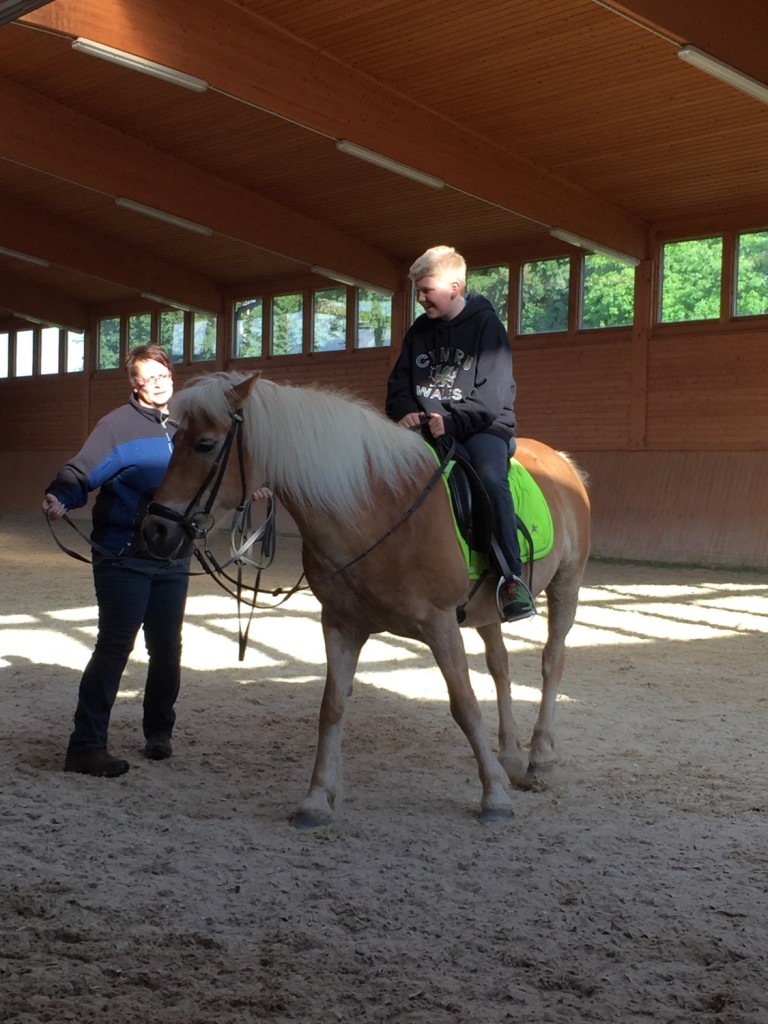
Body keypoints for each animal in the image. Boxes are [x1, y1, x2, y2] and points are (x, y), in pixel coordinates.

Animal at [142, 371, 591, 826]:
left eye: (205, 444)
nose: (155, 530)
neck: (378, 511)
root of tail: (560, 460)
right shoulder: (341, 624)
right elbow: (332, 706)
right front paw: (317, 797)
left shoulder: (441, 624)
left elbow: (464, 704)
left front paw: (494, 796)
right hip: (486, 610)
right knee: (500, 668)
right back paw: (511, 757)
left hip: (566, 584)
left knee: (552, 662)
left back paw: (540, 756)